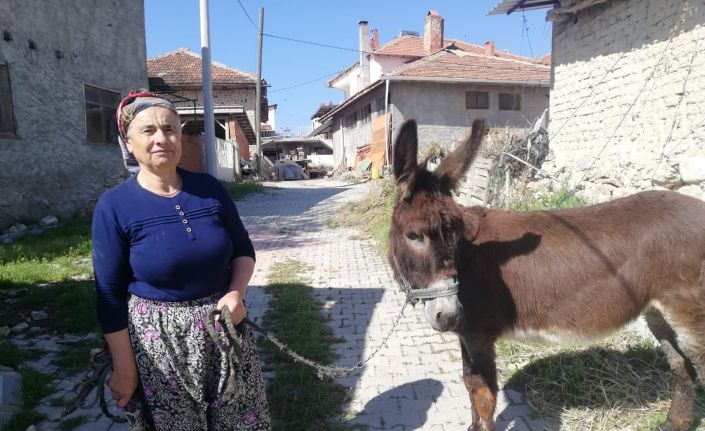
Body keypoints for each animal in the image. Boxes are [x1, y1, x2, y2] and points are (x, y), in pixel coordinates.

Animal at [387, 118, 705, 431]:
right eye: (413, 235)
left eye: (455, 234)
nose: (449, 314)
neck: (468, 256)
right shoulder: (467, 334)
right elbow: (470, 384)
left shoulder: (479, 335)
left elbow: (482, 394)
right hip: (658, 313)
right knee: (682, 366)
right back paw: (674, 423)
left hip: (690, 313)